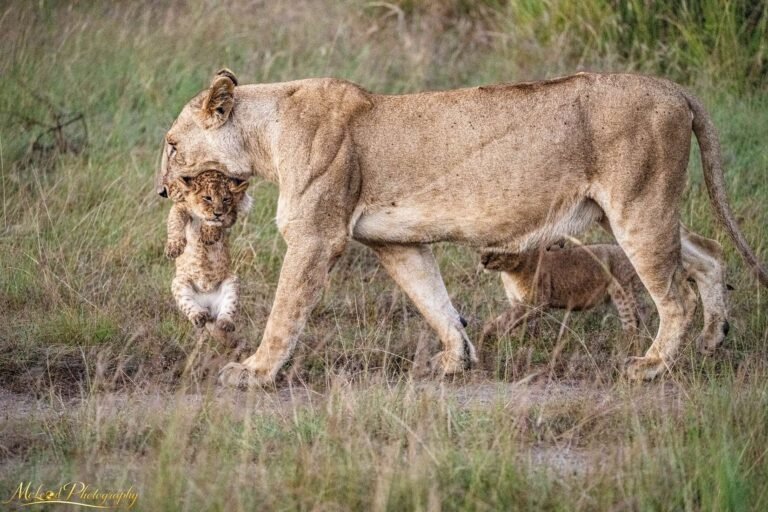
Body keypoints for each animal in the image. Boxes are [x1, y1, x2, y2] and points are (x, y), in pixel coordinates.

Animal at [166, 170, 250, 338]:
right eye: (207, 198)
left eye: (226, 199)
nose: (217, 212)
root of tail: (208, 306)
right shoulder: (180, 206)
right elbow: (174, 222)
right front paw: (174, 248)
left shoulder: (231, 214)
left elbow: (217, 223)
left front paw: (209, 233)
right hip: (180, 283)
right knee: (189, 306)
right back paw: (199, 316)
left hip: (232, 281)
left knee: (228, 309)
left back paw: (225, 323)